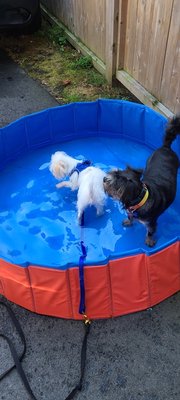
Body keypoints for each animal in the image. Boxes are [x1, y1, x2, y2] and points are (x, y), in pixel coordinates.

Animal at [103, 115, 179, 247]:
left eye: (113, 185)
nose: (103, 179)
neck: (140, 199)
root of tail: (166, 147)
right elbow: (130, 217)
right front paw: (128, 222)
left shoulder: (151, 222)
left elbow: (150, 232)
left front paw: (149, 241)